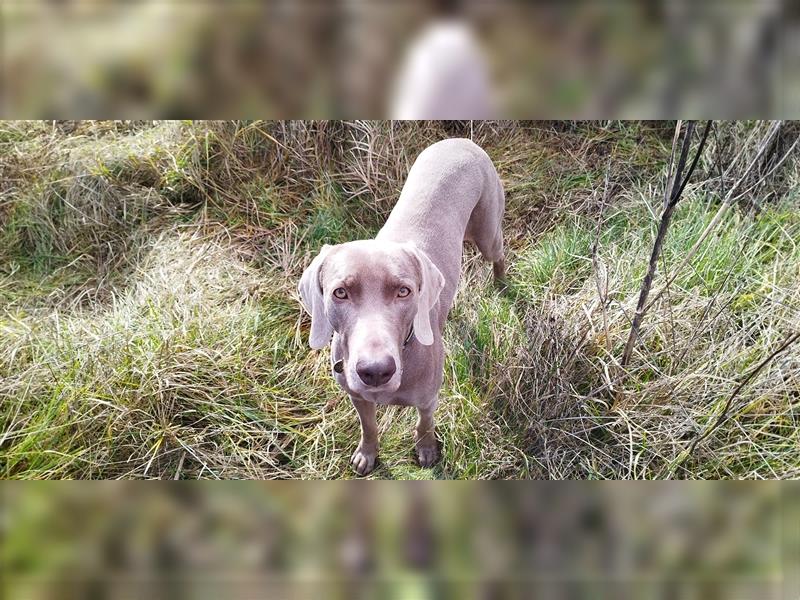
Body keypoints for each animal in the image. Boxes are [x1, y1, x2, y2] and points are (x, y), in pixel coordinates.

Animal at [296, 138, 504, 476]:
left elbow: (425, 423)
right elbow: (368, 426)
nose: (375, 371)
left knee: (498, 254)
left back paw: (501, 283)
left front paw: (427, 449)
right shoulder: (357, 397)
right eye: (340, 293)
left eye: (403, 291)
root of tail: (461, 141)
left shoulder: (428, 399)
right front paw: (367, 453)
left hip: (488, 232)